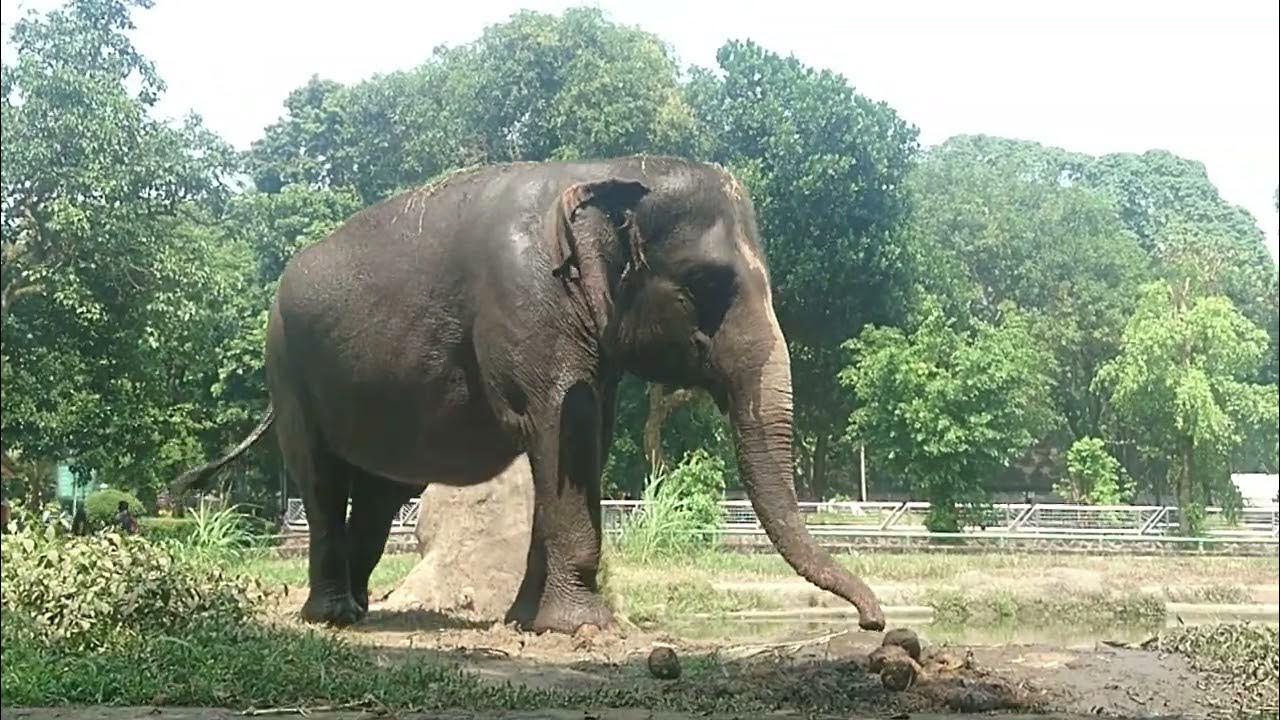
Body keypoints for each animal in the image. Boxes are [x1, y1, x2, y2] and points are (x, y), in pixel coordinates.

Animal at [175, 155, 885, 635]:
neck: (610, 168)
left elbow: (581, 444)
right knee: (322, 480)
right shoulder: (526, 304)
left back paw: (361, 610)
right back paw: (332, 617)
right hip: (287, 365)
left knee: (378, 496)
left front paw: (528, 622)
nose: (874, 622)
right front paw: (584, 628)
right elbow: (560, 430)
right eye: (706, 285)